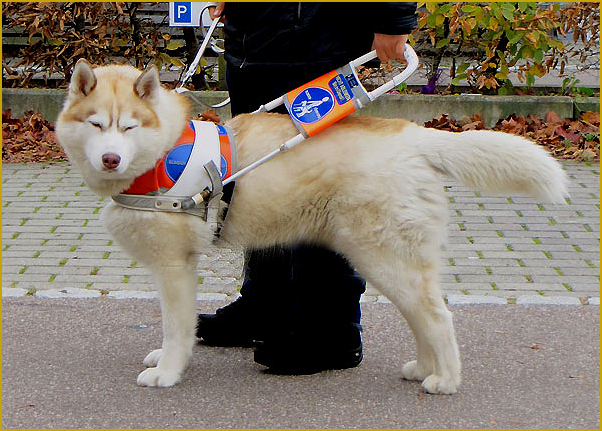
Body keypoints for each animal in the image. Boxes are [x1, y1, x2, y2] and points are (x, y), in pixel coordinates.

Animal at [56, 60, 568, 394]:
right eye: (97, 124)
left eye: (128, 127)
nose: (110, 158)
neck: (161, 153)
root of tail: (414, 135)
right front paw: (164, 361)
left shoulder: (175, 266)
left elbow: (176, 328)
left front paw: (167, 372)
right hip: (389, 262)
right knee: (421, 315)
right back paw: (423, 369)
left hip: (382, 258)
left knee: (438, 316)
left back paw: (445, 381)